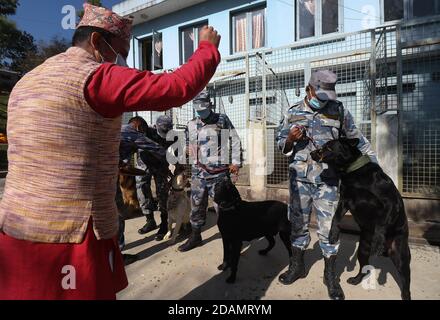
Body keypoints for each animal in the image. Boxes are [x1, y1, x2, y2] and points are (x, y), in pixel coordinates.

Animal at [312, 138, 410, 300]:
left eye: (328, 147)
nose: (312, 153)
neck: (352, 172)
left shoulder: (390, 202)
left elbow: (381, 224)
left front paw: (378, 241)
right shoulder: (345, 200)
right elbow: (335, 217)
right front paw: (333, 234)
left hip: (401, 256)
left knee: (406, 284)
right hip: (363, 249)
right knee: (365, 268)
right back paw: (356, 279)